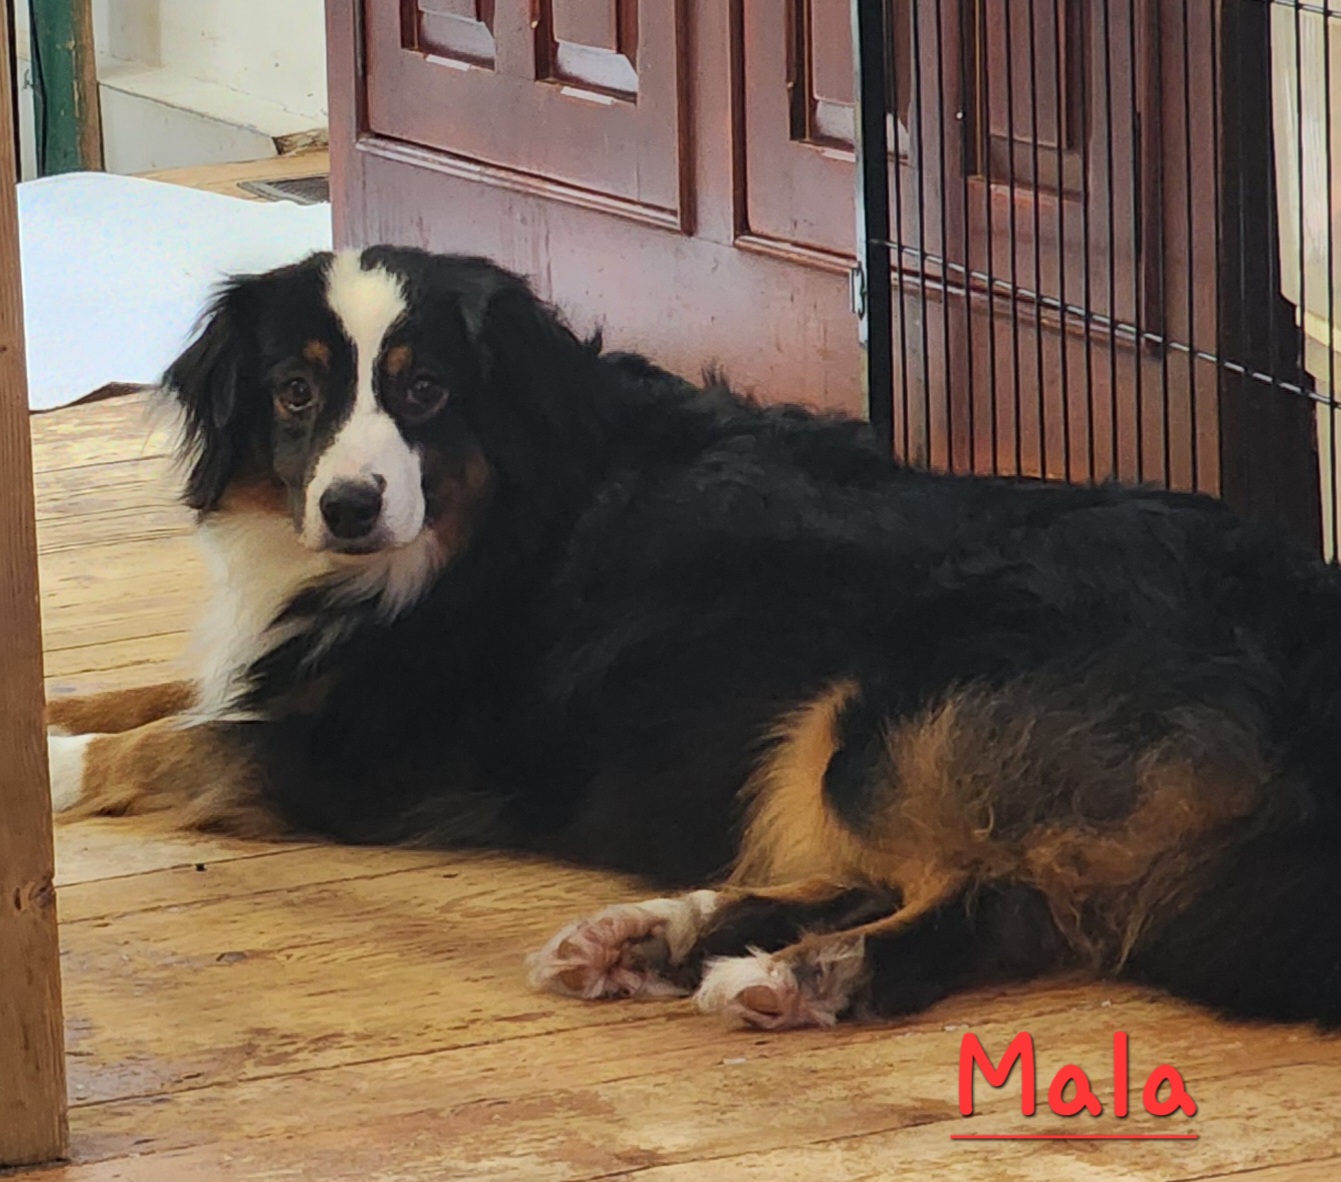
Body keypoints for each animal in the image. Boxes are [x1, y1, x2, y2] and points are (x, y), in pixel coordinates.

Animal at [46, 246, 1341, 1030]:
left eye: (425, 393)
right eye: (296, 392)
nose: (352, 507)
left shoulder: (367, 758)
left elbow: (170, 741)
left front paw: (55, 772)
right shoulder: (277, 670)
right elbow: (143, 694)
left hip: (889, 708)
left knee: (969, 900)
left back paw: (786, 976)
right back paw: (647, 938)